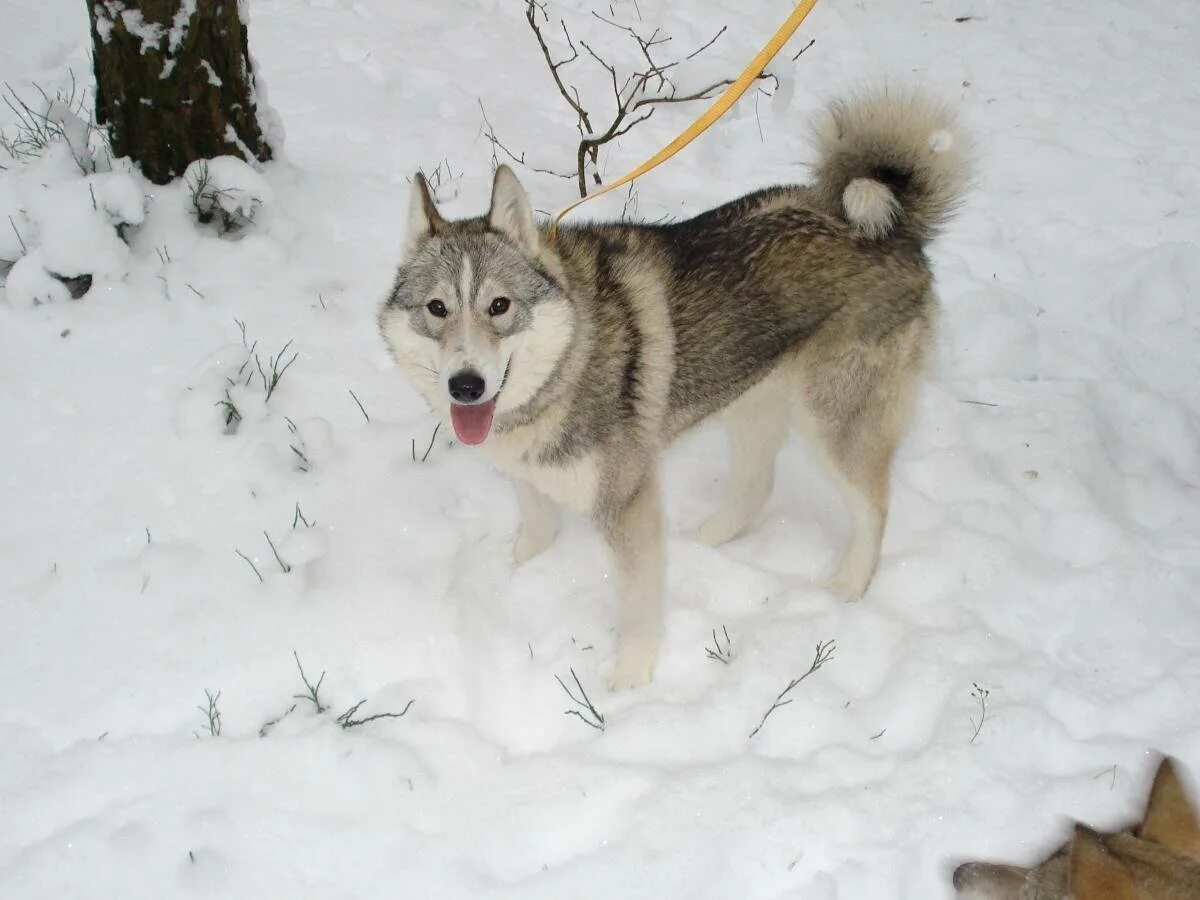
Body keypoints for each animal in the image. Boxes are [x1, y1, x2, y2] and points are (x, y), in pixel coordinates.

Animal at [379, 88, 969, 691]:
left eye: (499, 306)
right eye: (436, 309)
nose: (466, 385)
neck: (569, 359)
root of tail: (891, 227)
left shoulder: (627, 502)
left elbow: (638, 606)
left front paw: (629, 685)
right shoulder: (530, 480)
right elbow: (535, 538)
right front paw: (512, 577)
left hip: (835, 420)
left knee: (873, 508)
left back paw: (847, 588)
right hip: (751, 398)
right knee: (755, 488)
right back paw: (701, 544)